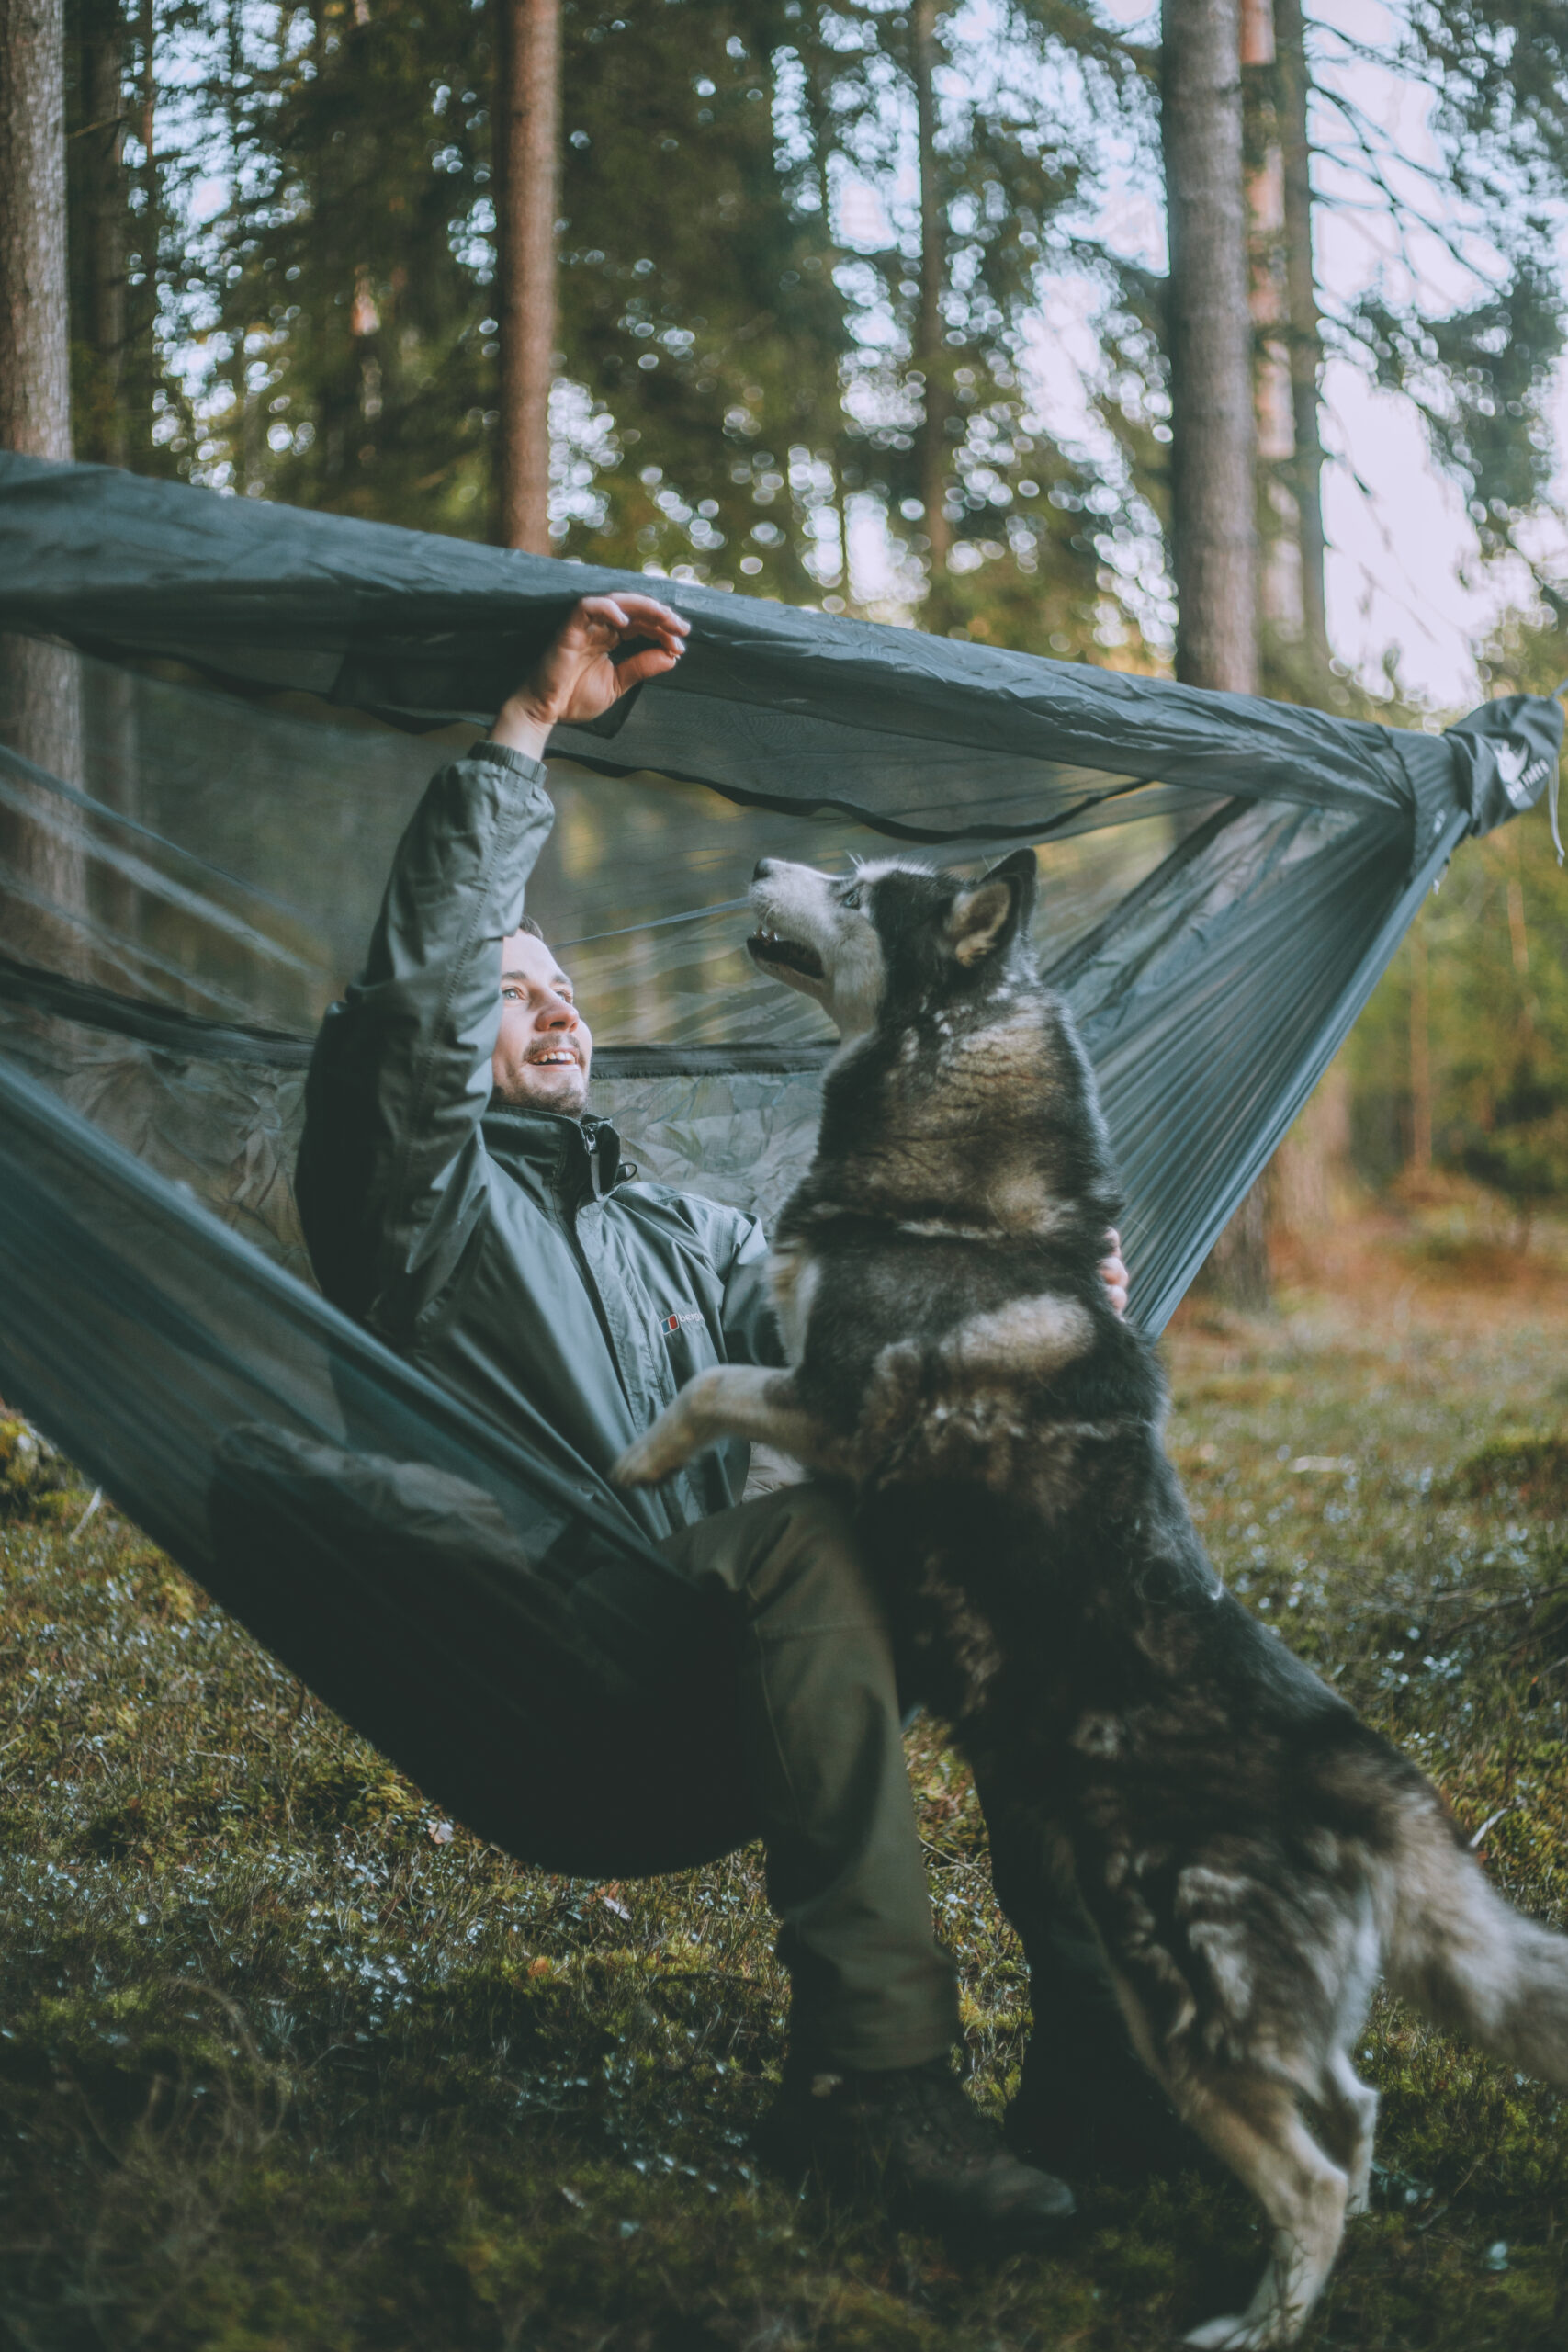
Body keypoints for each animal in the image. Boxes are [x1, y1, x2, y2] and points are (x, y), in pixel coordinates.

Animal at [615, 855, 1568, 2342]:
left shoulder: (838, 1403)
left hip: (1181, 2001)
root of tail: (1356, 1768)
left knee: (1309, 2179)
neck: (959, 1195)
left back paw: (1256, 2320)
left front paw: (638, 1461)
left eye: (858, 888)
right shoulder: (807, 1400)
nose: (763, 862)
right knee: (1352, 2115)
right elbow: (733, 1391)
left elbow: (710, 1382)